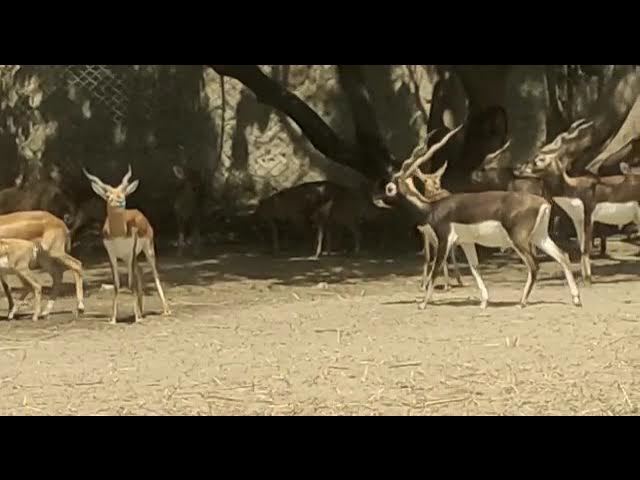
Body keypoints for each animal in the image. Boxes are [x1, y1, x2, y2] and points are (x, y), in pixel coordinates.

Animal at [84, 167, 171, 324]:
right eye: (108, 195)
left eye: (123, 192)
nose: (120, 201)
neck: (119, 232)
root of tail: (139, 213)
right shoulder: (112, 255)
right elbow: (117, 285)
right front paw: (113, 319)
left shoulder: (131, 251)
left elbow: (131, 284)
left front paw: (137, 318)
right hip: (127, 258)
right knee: (140, 270)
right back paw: (141, 311)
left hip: (147, 250)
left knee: (155, 274)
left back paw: (165, 310)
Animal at [372, 125, 584, 310]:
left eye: (389, 188)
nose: (375, 198)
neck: (431, 208)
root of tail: (542, 203)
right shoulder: (466, 242)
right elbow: (475, 268)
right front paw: (484, 301)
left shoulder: (444, 240)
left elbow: (436, 269)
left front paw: (423, 303)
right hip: (539, 237)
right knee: (563, 256)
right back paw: (576, 299)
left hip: (519, 240)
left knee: (534, 265)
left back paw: (522, 302)